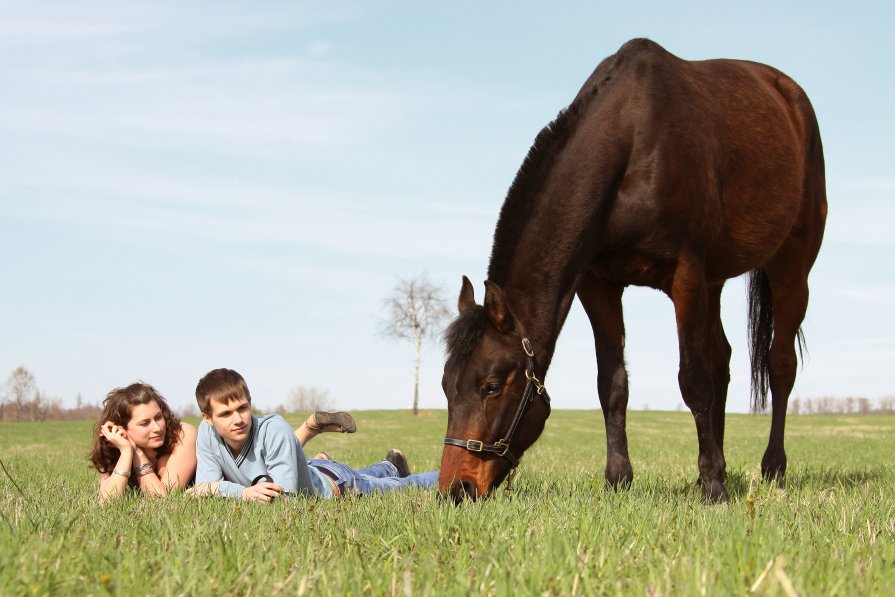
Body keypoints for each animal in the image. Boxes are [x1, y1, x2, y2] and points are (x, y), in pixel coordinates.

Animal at [440, 38, 824, 502]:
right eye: (446, 385)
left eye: (492, 386)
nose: (455, 489)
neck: (632, 143)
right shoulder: (598, 284)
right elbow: (613, 383)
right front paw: (620, 478)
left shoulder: (685, 274)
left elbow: (693, 380)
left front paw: (714, 487)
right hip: (713, 282)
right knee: (722, 361)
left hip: (791, 267)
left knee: (779, 363)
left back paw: (771, 468)